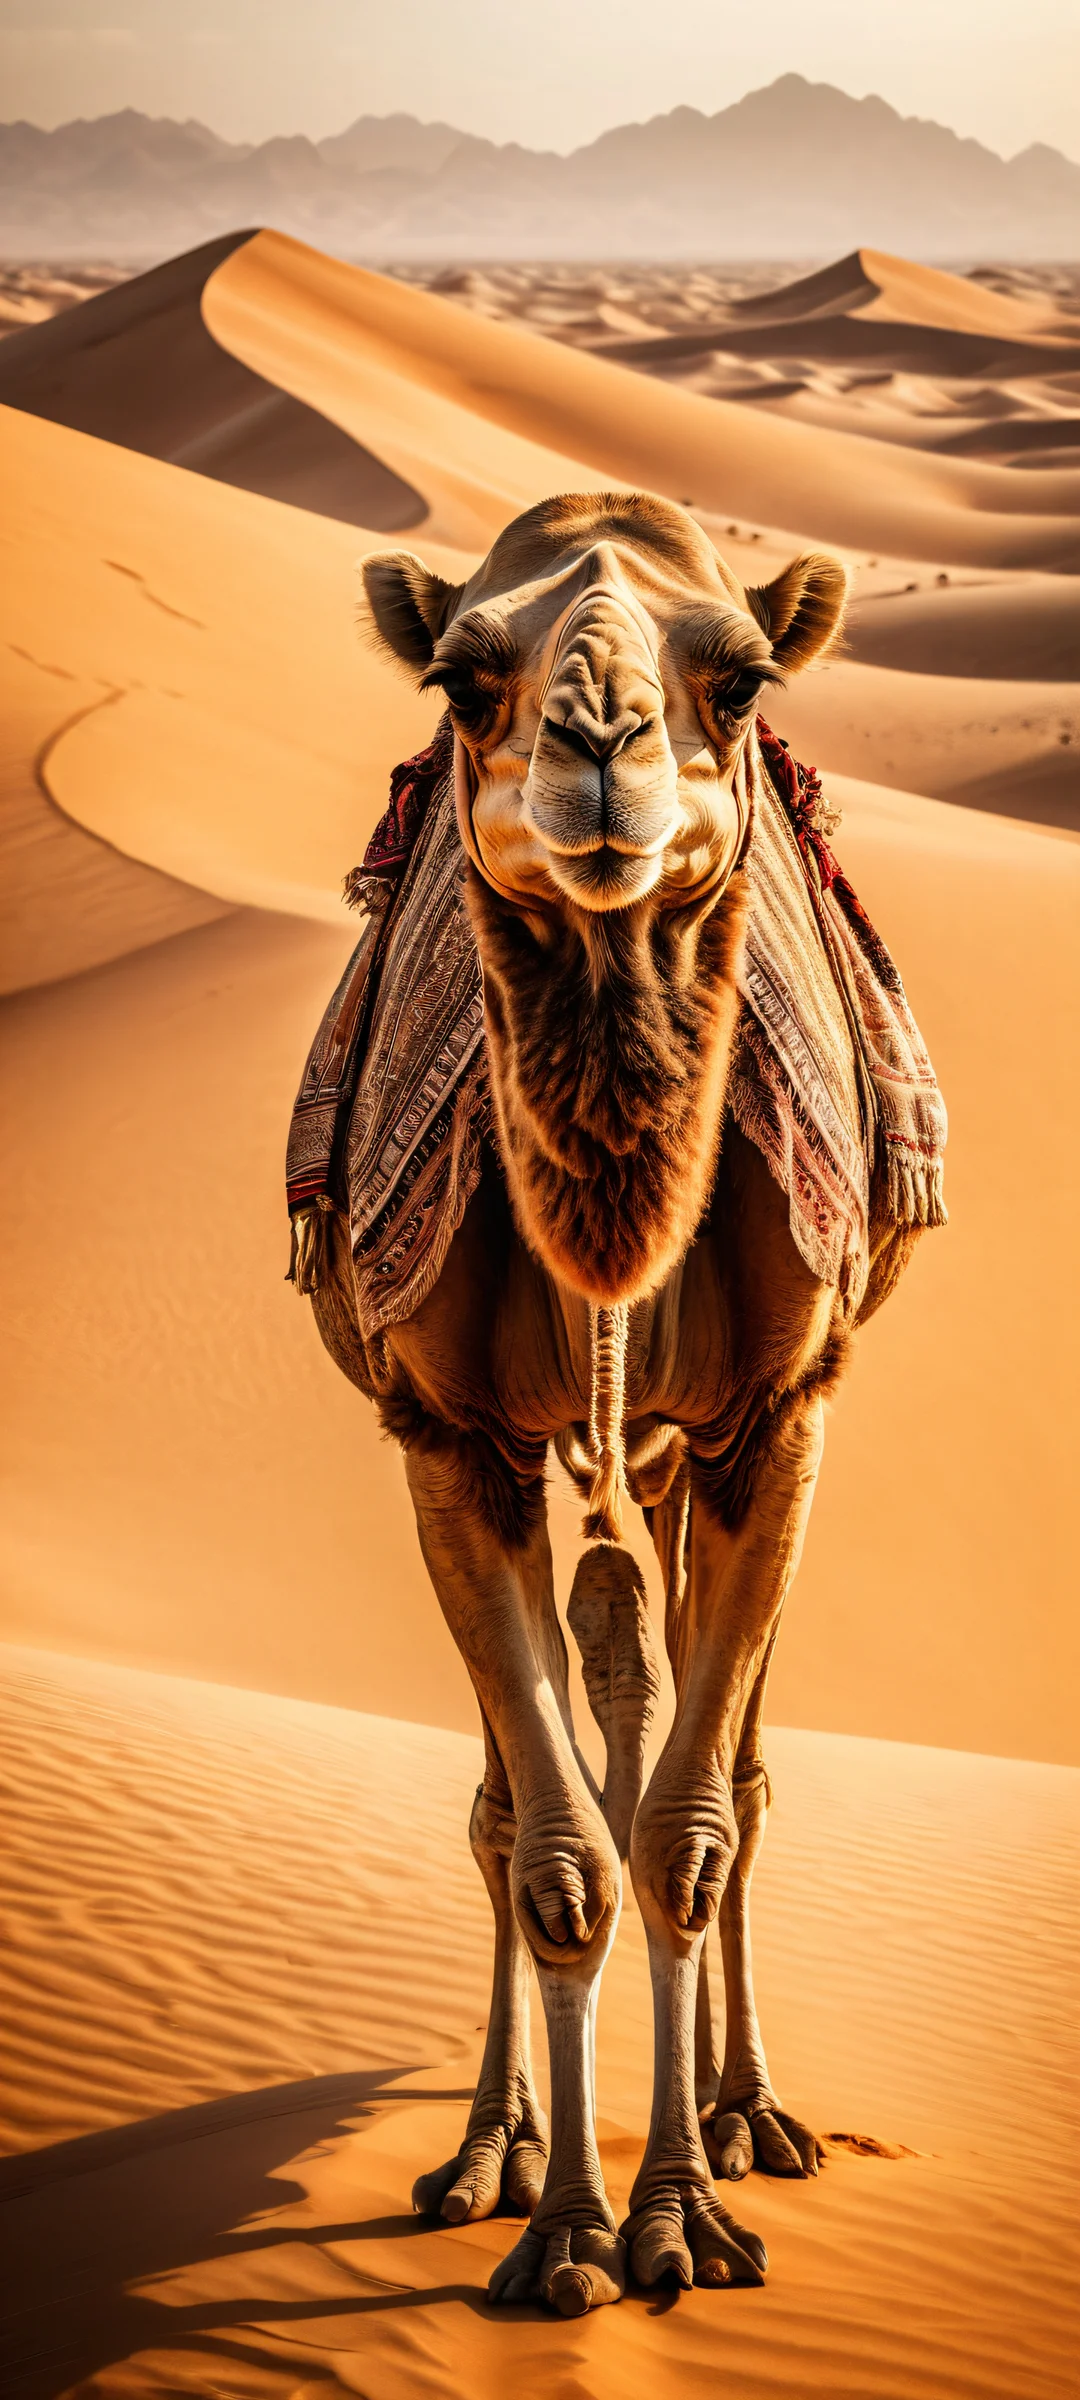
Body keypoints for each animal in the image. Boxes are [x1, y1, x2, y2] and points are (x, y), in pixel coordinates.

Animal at [304, 493, 927, 2317]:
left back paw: (744, 2117)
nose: (599, 747)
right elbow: (558, 1849)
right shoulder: (451, 1437)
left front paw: (682, 2219)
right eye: (461, 675)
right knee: (538, 1777)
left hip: (678, 1453)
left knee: (699, 1758)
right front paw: (570, 2229)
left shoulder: (778, 1414)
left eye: (741, 675)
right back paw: (495, 2147)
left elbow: (686, 1833)